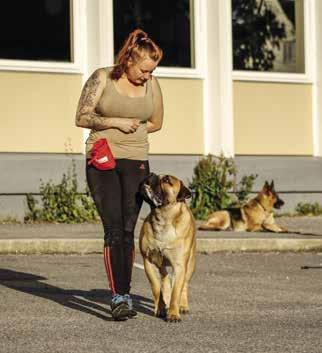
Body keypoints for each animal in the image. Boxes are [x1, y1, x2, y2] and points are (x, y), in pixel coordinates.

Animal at [139, 173, 196, 322]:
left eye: (166, 180)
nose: (151, 174)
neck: (163, 218)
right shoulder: (148, 261)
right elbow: (156, 286)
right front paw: (160, 308)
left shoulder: (180, 266)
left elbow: (177, 291)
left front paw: (173, 314)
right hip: (161, 263)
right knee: (165, 278)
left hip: (190, 264)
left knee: (184, 285)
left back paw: (183, 306)